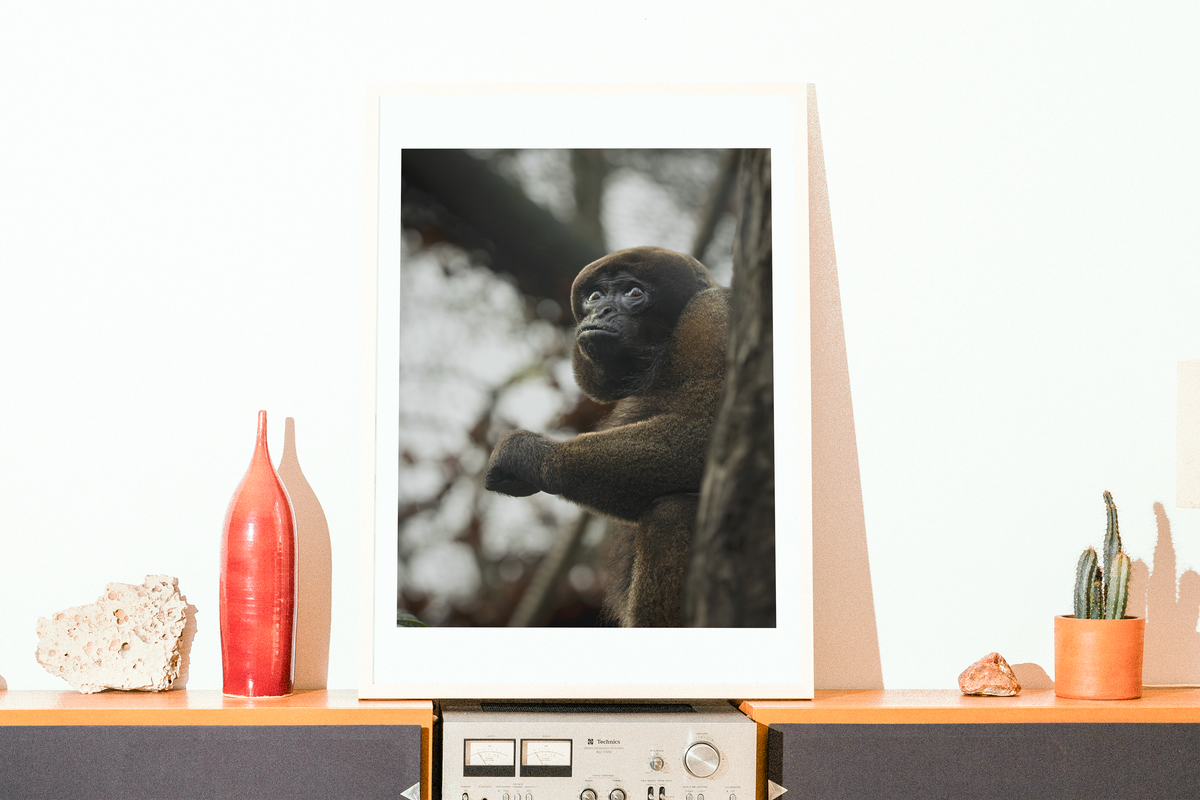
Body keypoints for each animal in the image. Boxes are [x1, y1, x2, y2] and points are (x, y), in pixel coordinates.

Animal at [484, 246, 729, 626]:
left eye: (633, 292)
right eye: (595, 296)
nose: (601, 311)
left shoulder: (712, 318)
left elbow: (706, 436)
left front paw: (531, 455)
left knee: (674, 513)